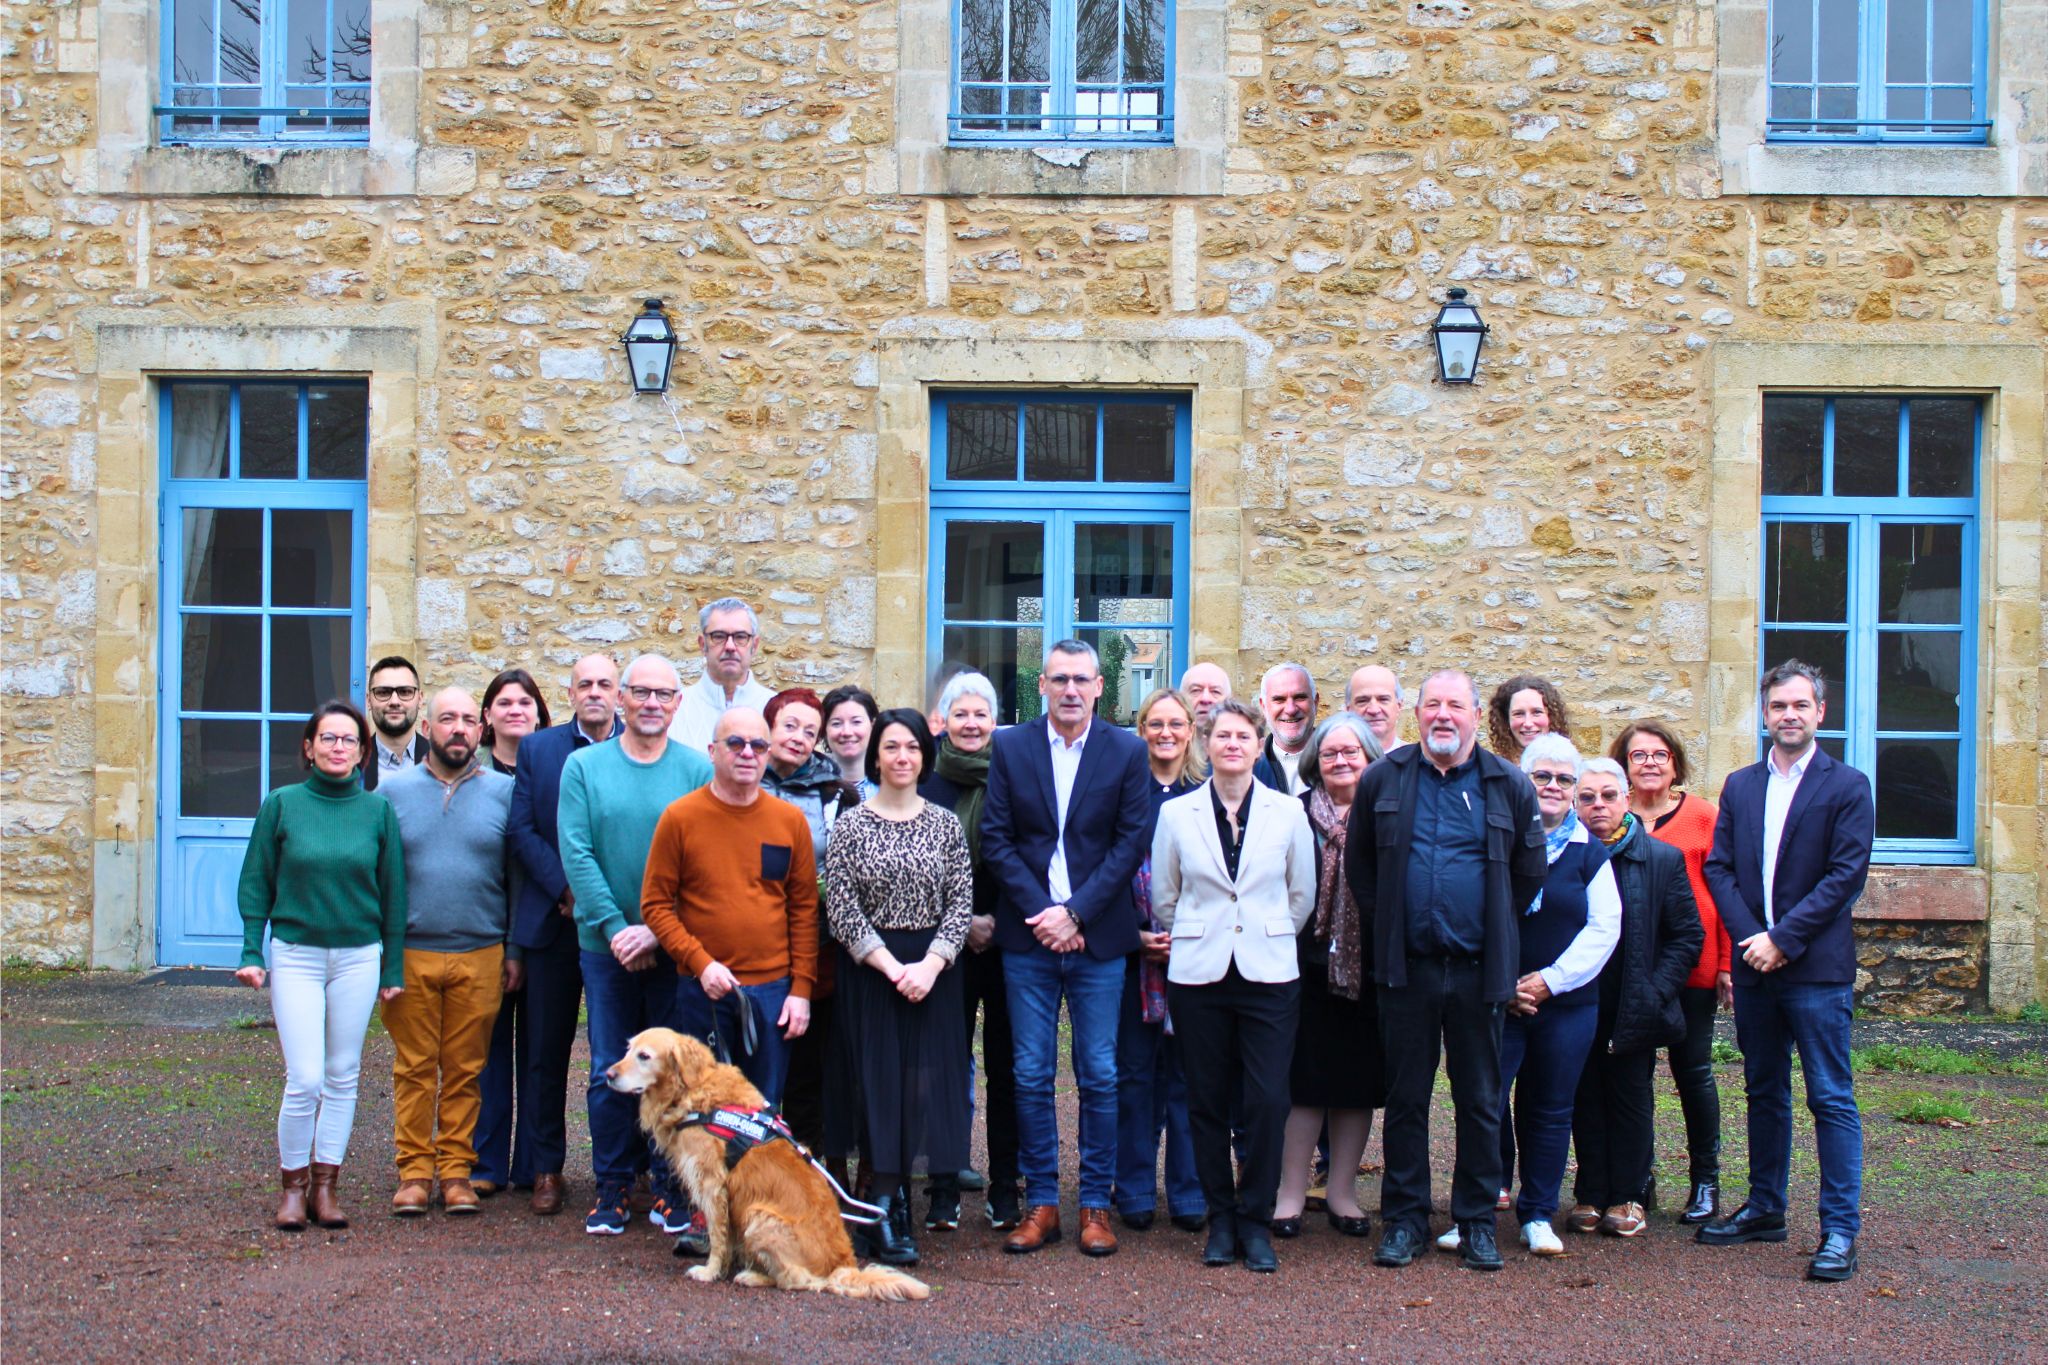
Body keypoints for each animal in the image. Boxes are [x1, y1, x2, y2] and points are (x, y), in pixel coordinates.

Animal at [605, 1027, 928, 1301]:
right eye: (628, 1049)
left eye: (644, 1056)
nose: (608, 1074)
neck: (694, 1091)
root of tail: (844, 1264)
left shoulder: (712, 1184)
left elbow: (718, 1235)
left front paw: (710, 1271)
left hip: (759, 1216)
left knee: (800, 1280)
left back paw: (754, 1276)